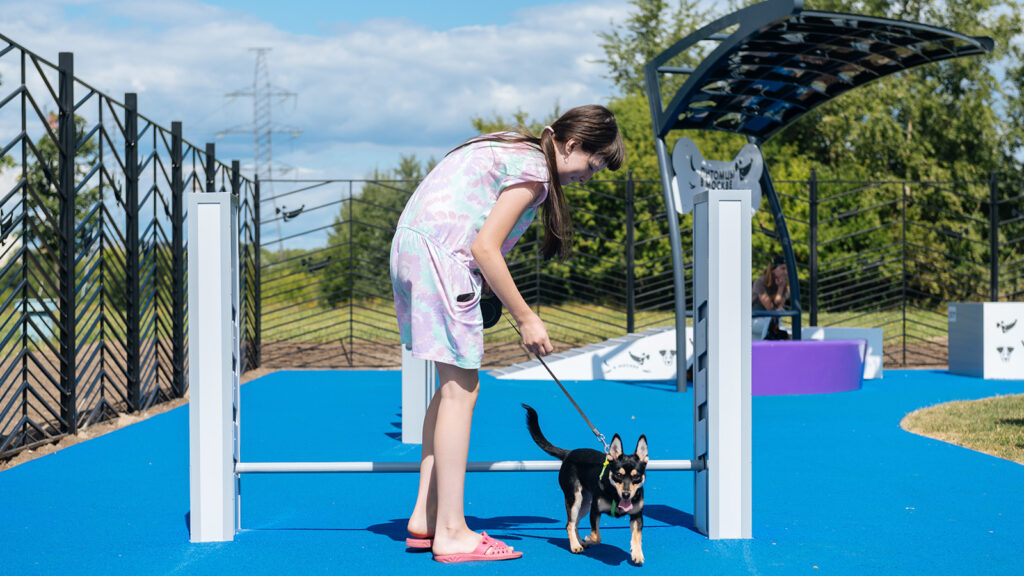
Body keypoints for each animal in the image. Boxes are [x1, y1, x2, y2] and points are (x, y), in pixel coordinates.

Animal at [522, 404, 648, 564]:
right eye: (618, 475)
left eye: (636, 476)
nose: (626, 494)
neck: (615, 495)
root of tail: (569, 453)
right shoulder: (595, 511)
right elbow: (596, 536)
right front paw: (589, 537)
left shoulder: (637, 515)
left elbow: (637, 536)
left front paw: (637, 553)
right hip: (575, 499)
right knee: (569, 523)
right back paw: (575, 545)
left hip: (585, 503)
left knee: (574, 523)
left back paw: (580, 541)